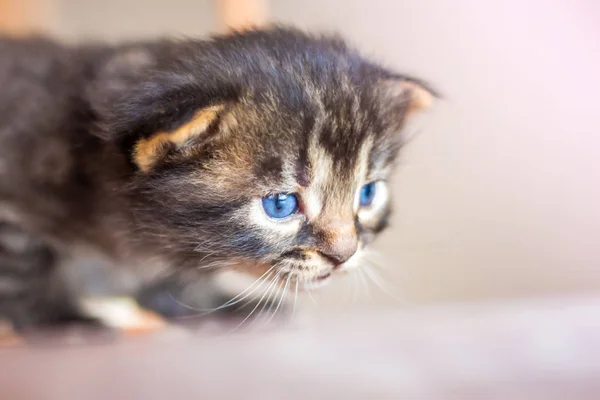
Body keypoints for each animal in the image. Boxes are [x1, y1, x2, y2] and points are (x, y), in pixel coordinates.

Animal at [0, 26, 432, 330]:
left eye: (368, 194)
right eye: (280, 204)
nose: (344, 254)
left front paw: (201, 308)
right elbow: (21, 269)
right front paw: (58, 319)